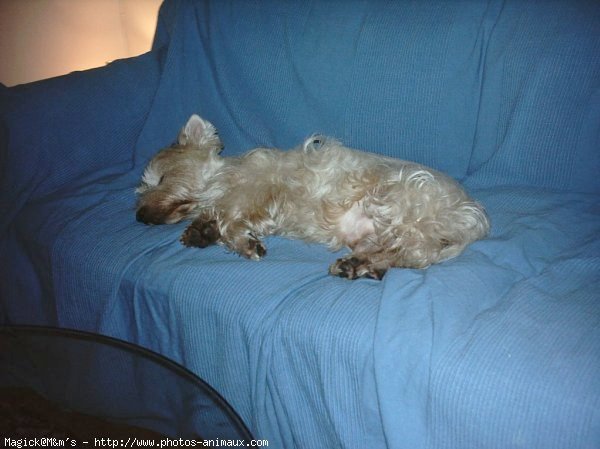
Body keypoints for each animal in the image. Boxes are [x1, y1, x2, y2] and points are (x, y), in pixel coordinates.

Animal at [136, 114, 488, 278]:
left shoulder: (257, 190)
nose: (139, 216)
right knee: (403, 254)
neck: (222, 177)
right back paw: (359, 265)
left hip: (399, 200)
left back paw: (359, 265)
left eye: (161, 179)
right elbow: (220, 218)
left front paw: (240, 241)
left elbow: (229, 219)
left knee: (412, 250)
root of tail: (473, 220)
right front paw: (200, 231)